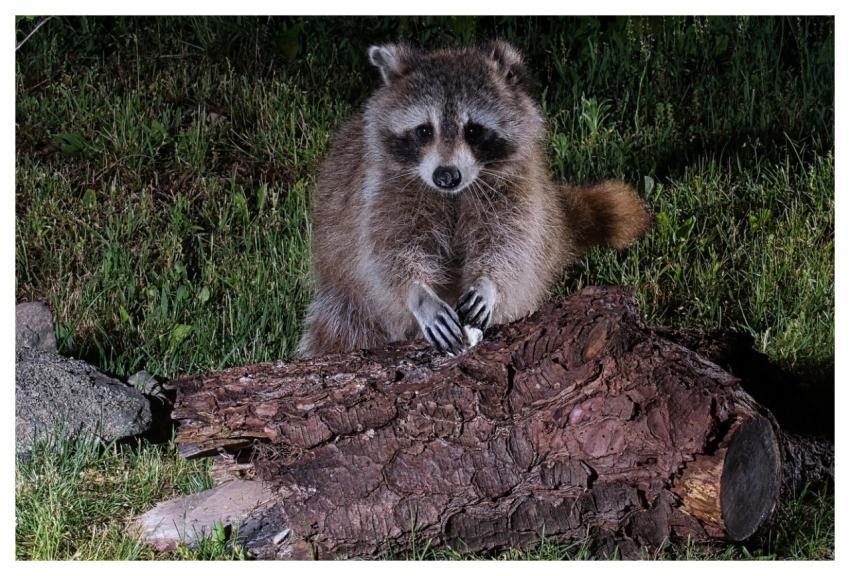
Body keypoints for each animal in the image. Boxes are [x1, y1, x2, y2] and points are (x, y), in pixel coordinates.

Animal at [297, 40, 650, 357]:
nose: (446, 176)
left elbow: (511, 244)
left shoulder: (517, 187)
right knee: (341, 327)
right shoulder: (383, 188)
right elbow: (388, 251)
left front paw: (489, 284)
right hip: (344, 291)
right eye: (424, 130)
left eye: (474, 130)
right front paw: (418, 294)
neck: (453, 194)